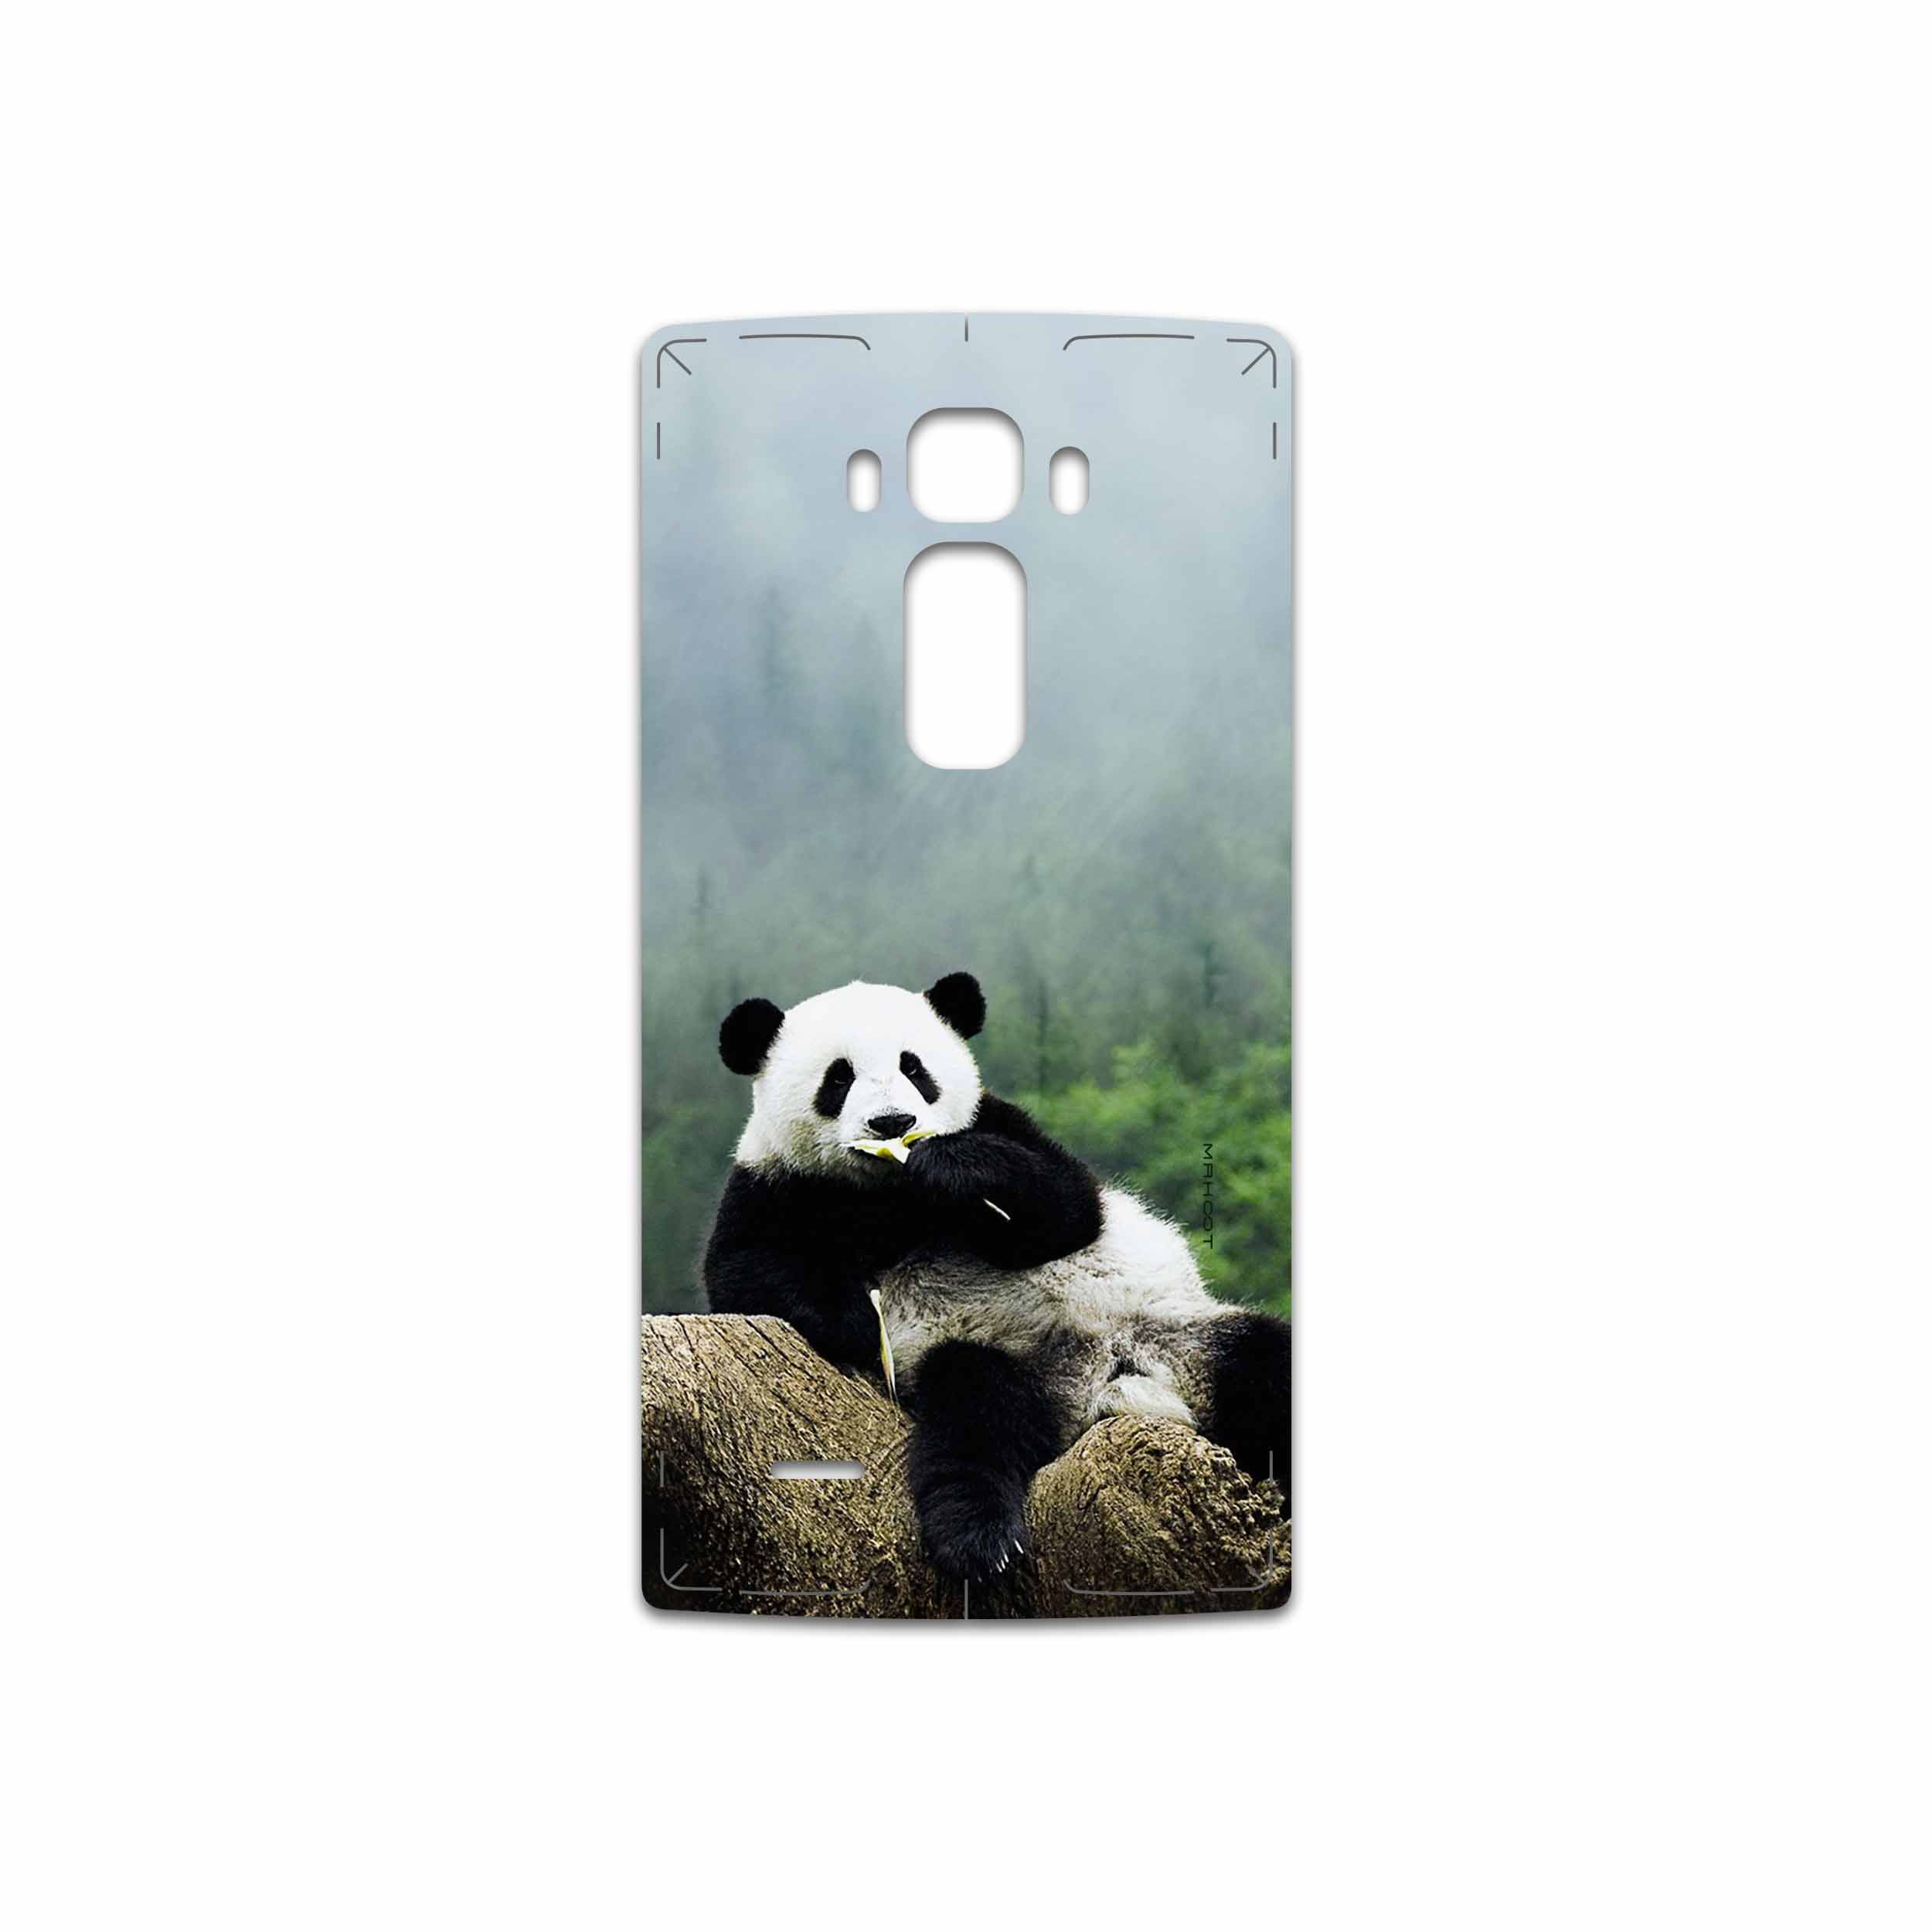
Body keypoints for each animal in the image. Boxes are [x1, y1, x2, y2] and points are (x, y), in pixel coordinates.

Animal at [703, 971, 1290, 1582]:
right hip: (991, 1358)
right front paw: (859, 1322)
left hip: (1181, 1334)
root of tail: (1103, 1385)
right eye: (839, 1078)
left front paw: (949, 1169)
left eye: (915, 1068)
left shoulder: (1000, 1123)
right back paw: (980, 1541)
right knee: (975, 1421)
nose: (893, 1123)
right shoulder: (774, 1184)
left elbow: (1068, 1208)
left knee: (1265, 1364)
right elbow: (745, 1271)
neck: (888, 1194)